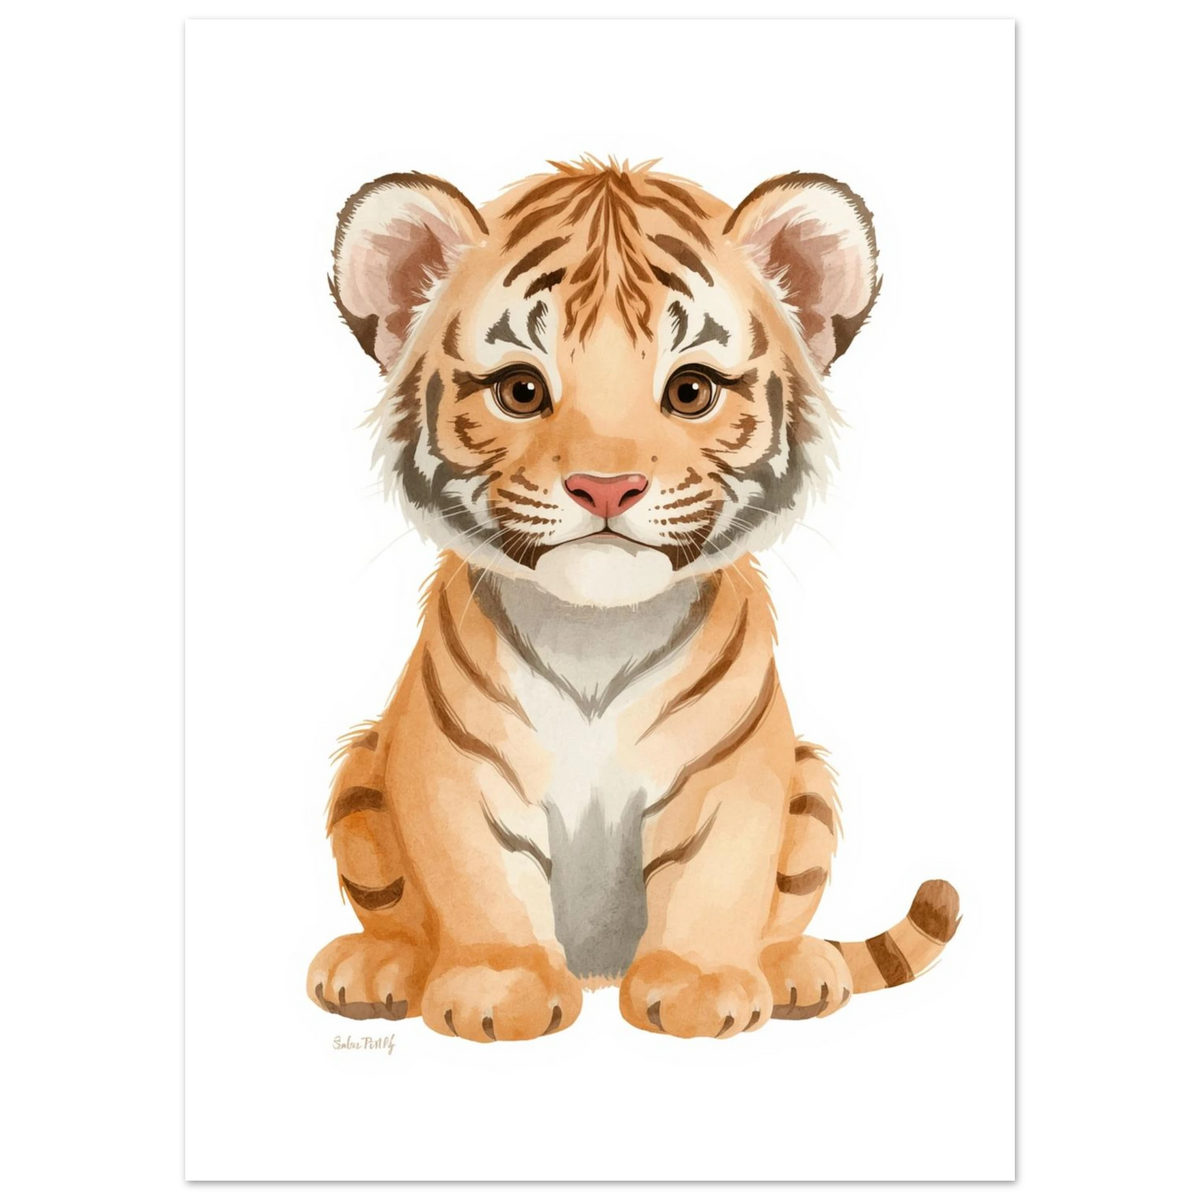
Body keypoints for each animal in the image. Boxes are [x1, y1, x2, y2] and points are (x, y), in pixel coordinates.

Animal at [307, 156, 960, 1041]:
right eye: (520, 390)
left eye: (691, 391)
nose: (606, 486)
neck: (594, 632)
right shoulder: (454, 771)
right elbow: (480, 880)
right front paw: (498, 987)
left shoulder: (734, 775)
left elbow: (717, 878)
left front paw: (701, 987)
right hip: (360, 773)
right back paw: (376, 968)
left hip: (810, 786)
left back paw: (796, 971)